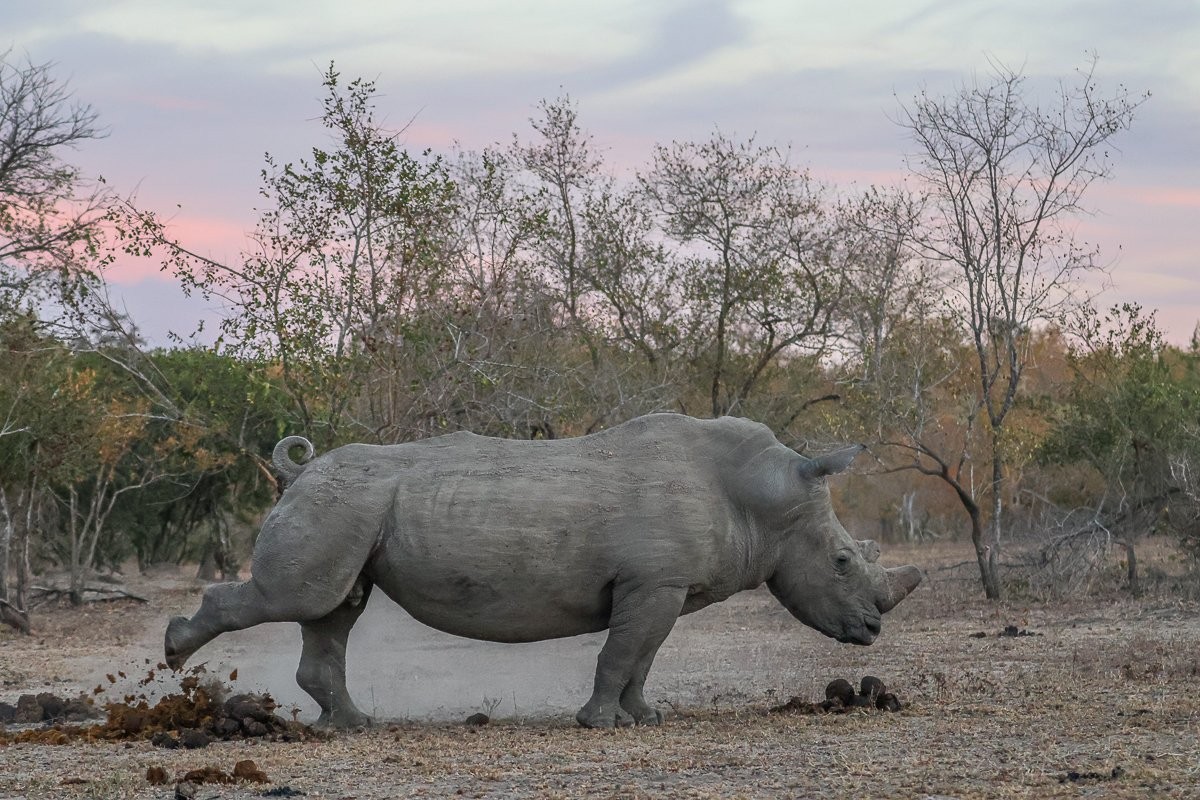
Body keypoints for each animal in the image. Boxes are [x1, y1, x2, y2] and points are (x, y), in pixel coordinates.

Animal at [165, 413, 922, 728]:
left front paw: (644, 718)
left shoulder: (662, 587)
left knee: (332, 609)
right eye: (842, 561)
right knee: (301, 598)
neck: (762, 497)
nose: (874, 629)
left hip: (347, 508)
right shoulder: (653, 582)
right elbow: (622, 653)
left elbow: (642, 656)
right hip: (336, 503)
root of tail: (299, 471)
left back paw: (352, 726)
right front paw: (599, 724)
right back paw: (174, 652)